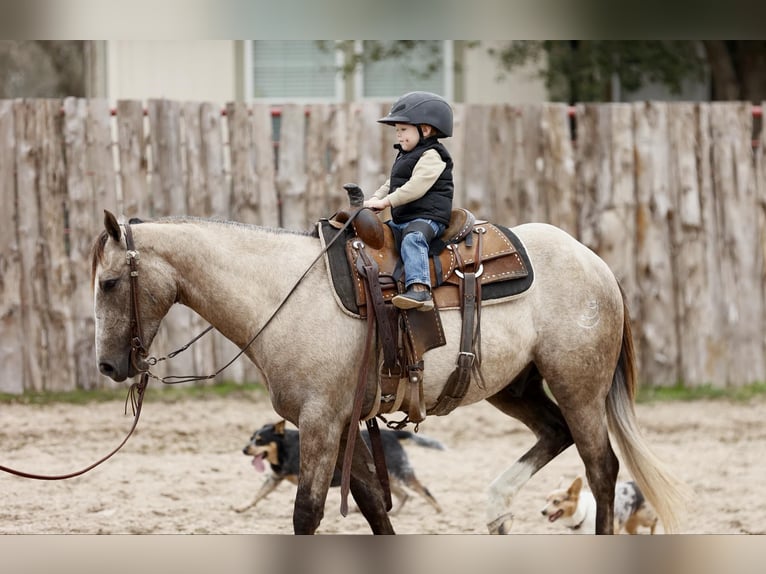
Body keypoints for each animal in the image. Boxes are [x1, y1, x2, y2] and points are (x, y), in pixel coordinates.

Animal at [237, 418, 448, 516]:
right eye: (251, 437)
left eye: (260, 440)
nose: (244, 450)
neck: (284, 448)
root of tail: (391, 434)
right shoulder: (274, 478)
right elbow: (258, 495)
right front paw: (242, 507)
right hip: (384, 474)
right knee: (403, 495)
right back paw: (393, 512)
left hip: (400, 471)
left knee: (422, 489)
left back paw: (439, 511)